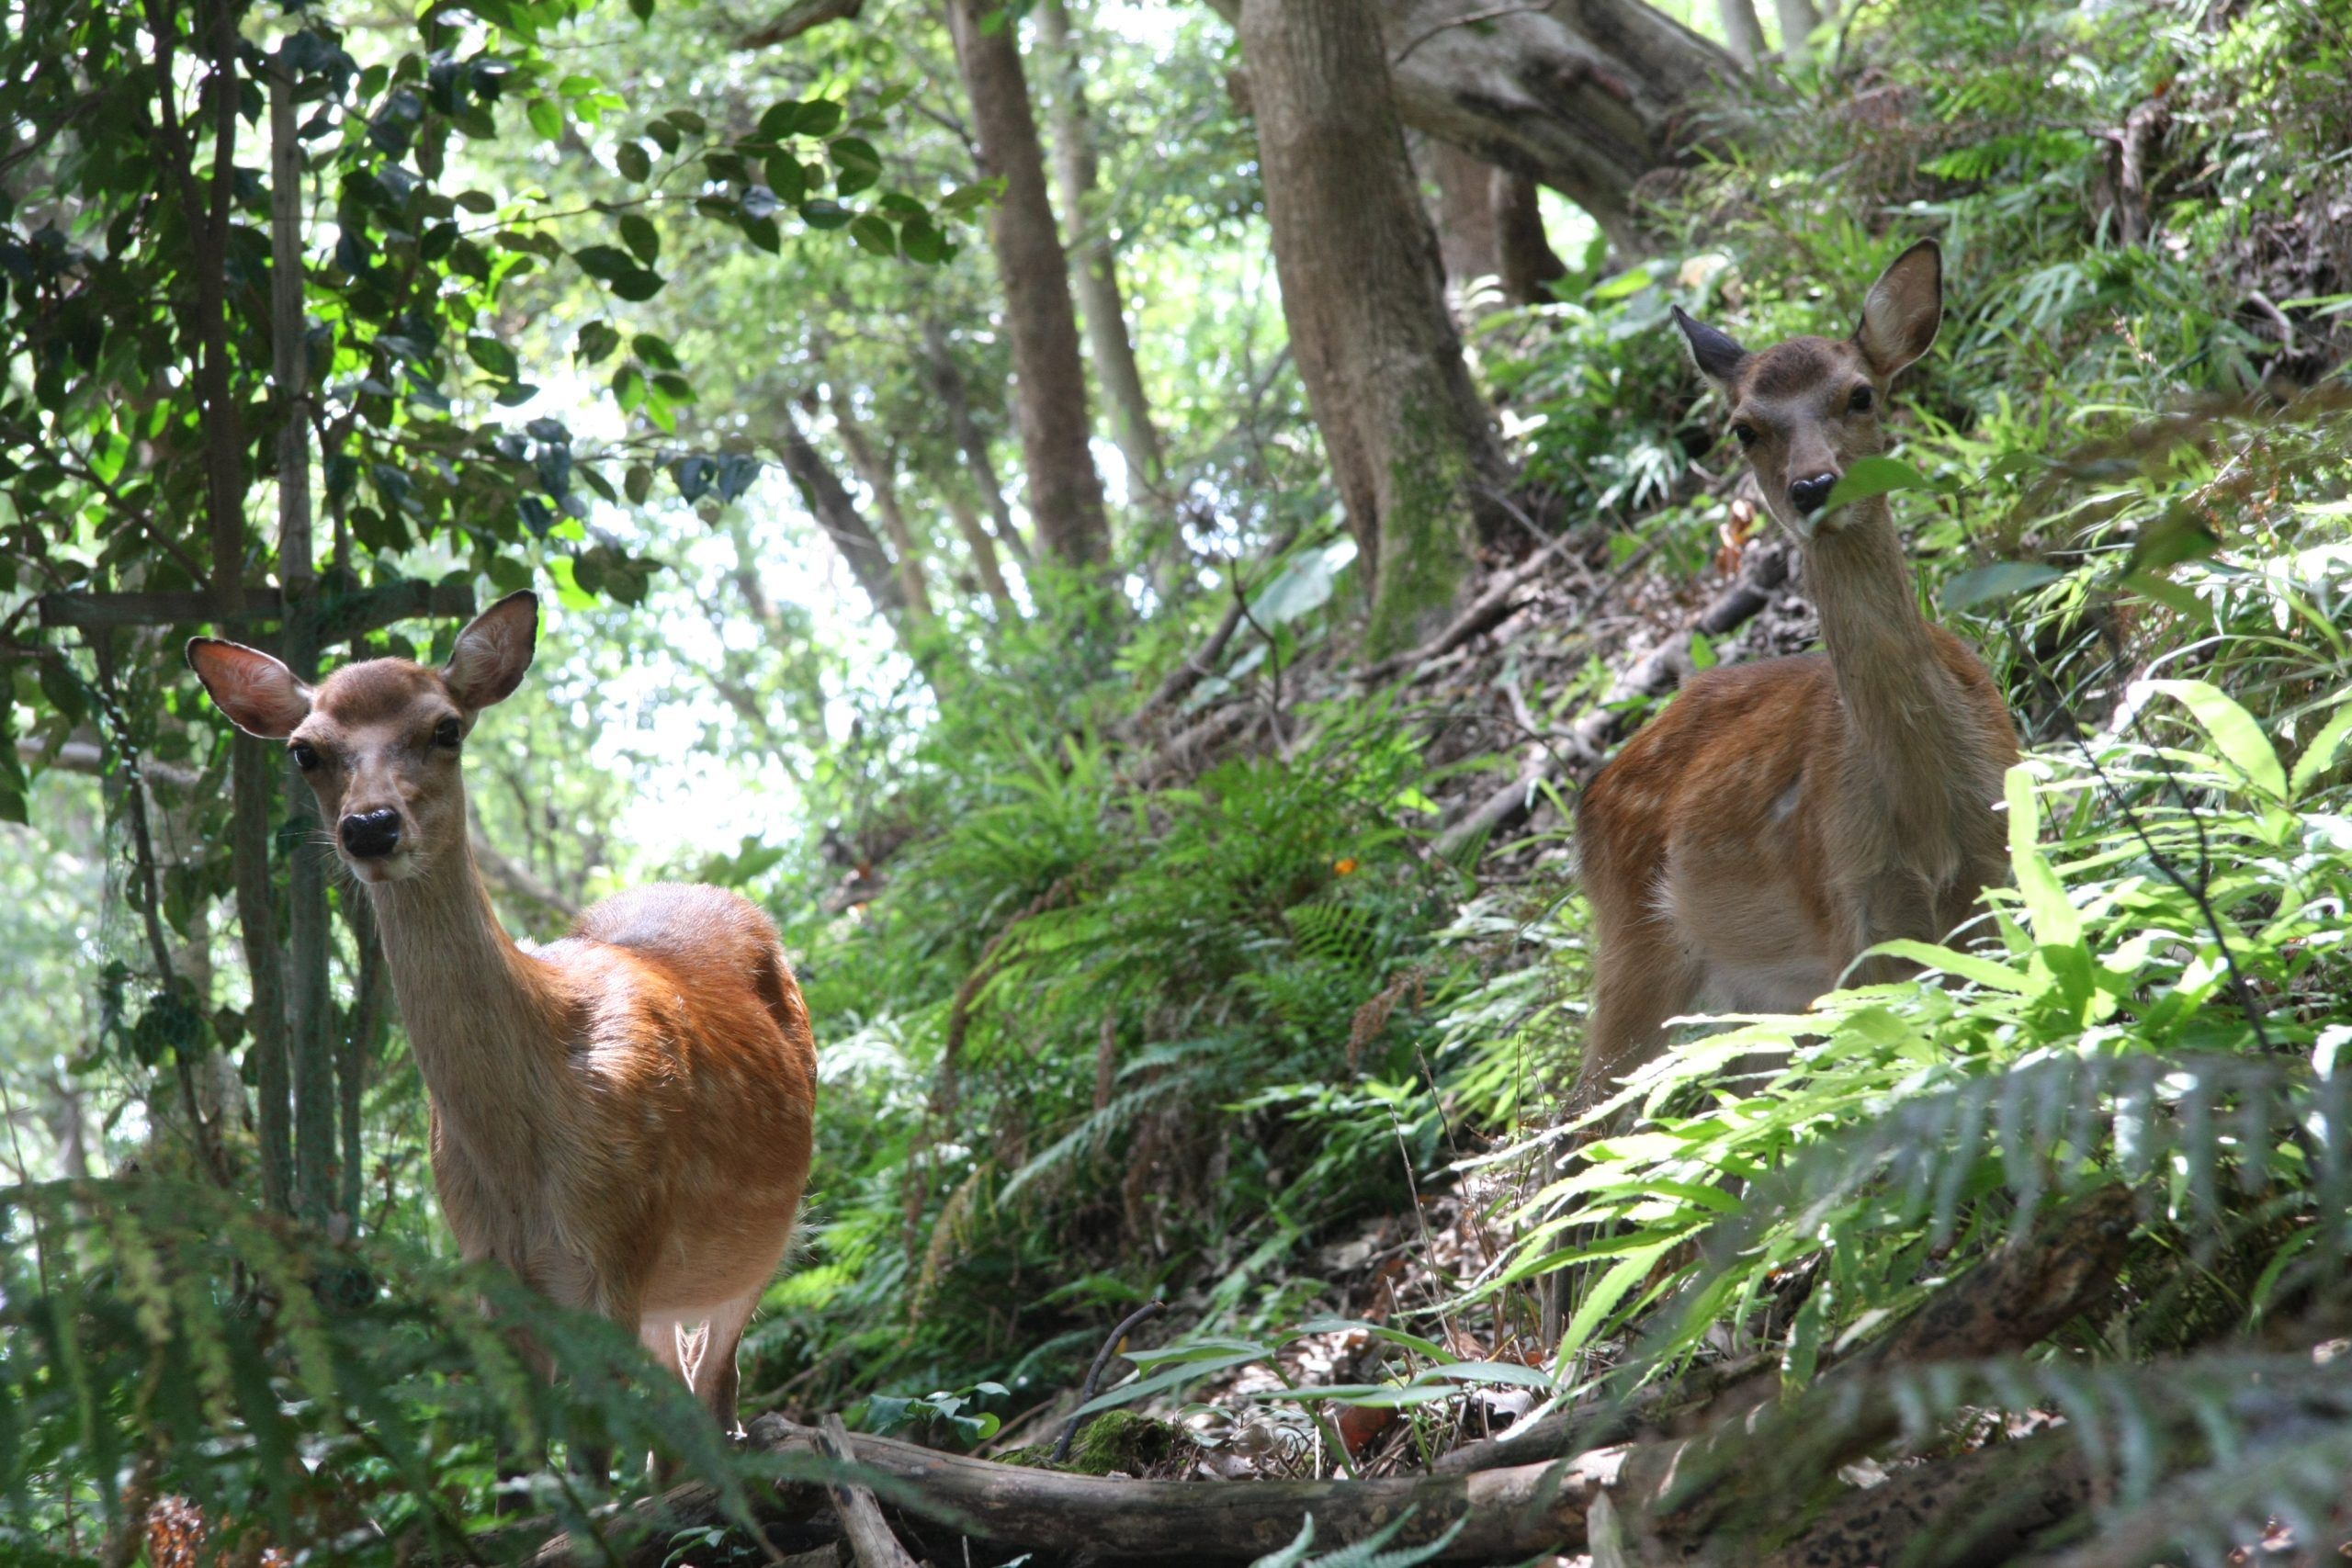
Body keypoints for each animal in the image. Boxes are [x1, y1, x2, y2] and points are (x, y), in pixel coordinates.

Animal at [181, 594, 818, 1438]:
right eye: (304, 751)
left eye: (446, 727)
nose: (371, 826)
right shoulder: (493, 1267)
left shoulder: (620, 1240)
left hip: (757, 1245)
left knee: (716, 1385)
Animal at [1571, 236, 2013, 1114]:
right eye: (1744, 428)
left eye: (1860, 395)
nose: (1814, 485)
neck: (1928, 819)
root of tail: (1588, 795)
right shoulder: (1854, 920)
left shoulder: (2006, 869)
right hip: (1639, 953)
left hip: (1755, 1007)